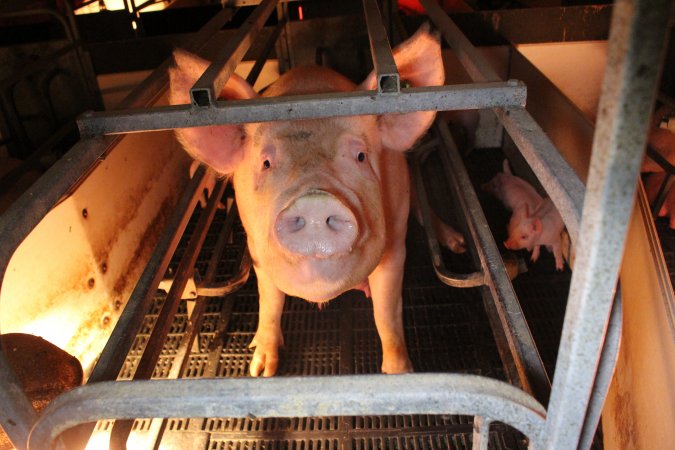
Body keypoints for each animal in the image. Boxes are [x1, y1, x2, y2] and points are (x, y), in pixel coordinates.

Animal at [169, 24, 464, 376]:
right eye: (266, 162)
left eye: (360, 156)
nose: (315, 200)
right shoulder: (256, 252)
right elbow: (270, 302)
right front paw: (260, 369)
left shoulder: (396, 245)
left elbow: (387, 313)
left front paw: (399, 373)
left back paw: (458, 244)